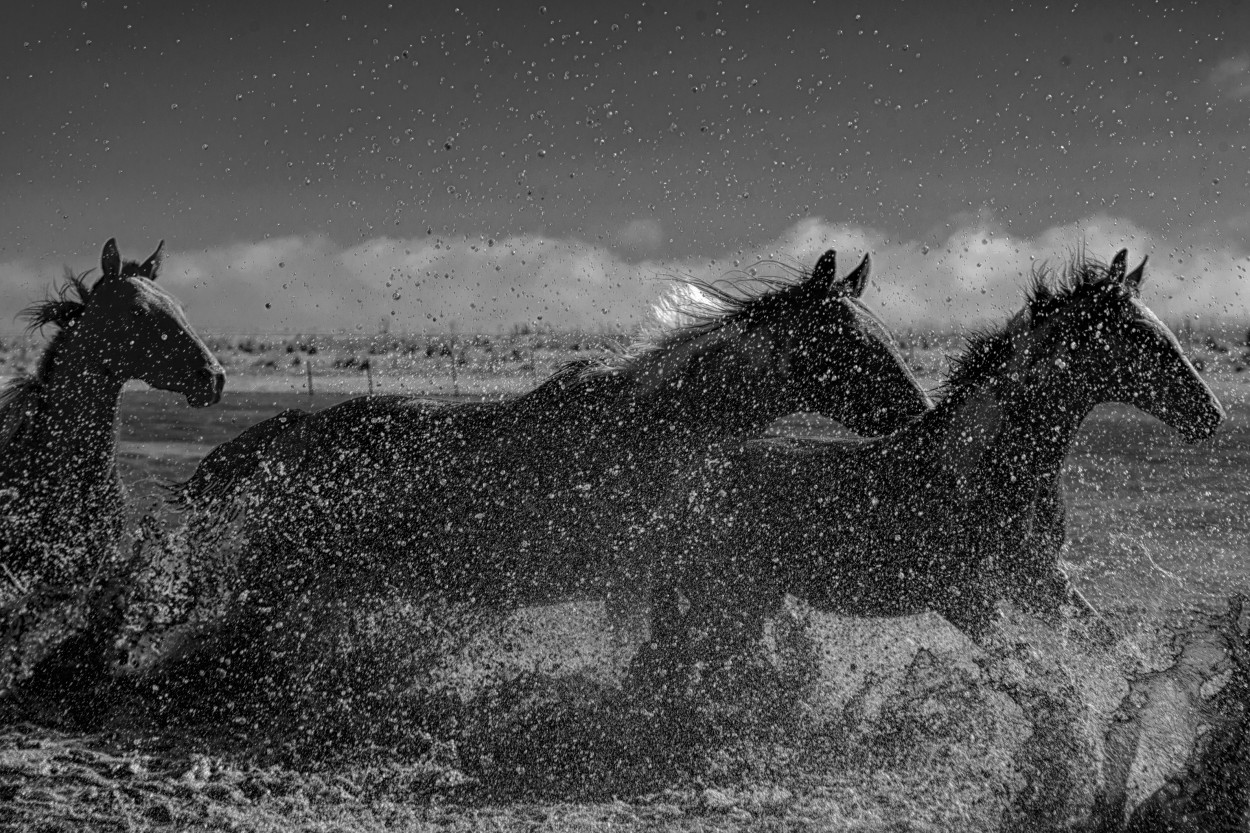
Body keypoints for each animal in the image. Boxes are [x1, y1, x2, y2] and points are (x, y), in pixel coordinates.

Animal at [650, 243, 1225, 665]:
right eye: (1140, 337)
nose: (1212, 414)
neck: (989, 467)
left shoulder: (1040, 580)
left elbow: (1113, 650)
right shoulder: (964, 599)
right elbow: (1043, 681)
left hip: (749, 602)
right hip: (725, 600)